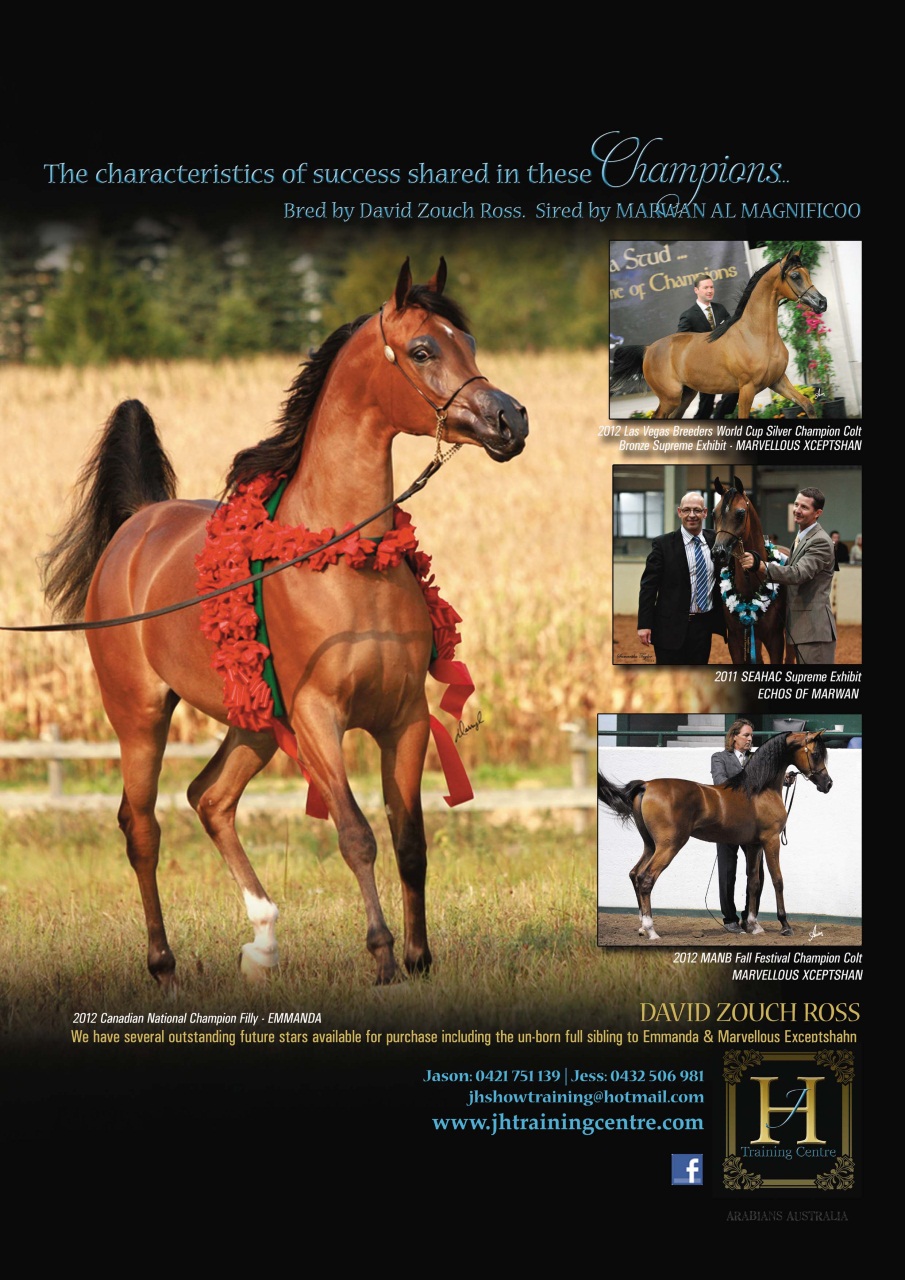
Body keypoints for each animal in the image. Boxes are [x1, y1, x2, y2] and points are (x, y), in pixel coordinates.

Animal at [39, 257, 529, 989]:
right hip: (140, 716)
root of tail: (137, 524)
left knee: (210, 798)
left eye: (467, 341)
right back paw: (163, 964)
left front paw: (420, 957)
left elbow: (409, 840)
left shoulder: (404, 719)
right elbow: (356, 835)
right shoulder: (318, 717)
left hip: (252, 719)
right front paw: (382, 954)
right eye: (422, 349)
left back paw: (264, 942)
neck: (347, 559)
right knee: (142, 826)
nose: (510, 419)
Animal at [597, 731, 833, 941]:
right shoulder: (771, 840)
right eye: (815, 754)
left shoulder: (754, 845)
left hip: (650, 845)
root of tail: (646, 785)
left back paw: (642, 927)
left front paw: (753, 926)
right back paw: (651, 931)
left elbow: (753, 882)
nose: (828, 784)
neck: (759, 790)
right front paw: (785, 925)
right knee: (646, 879)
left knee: (635, 874)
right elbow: (778, 880)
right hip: (669, 846)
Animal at [610, 249, 827, 420]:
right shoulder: (747, 388)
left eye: (806, 272)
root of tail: (648, 349)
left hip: (685, 395)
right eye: (795, 276)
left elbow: (807, 405)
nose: (822, 302)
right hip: (670, 397)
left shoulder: (777, 380)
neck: (755, 335)